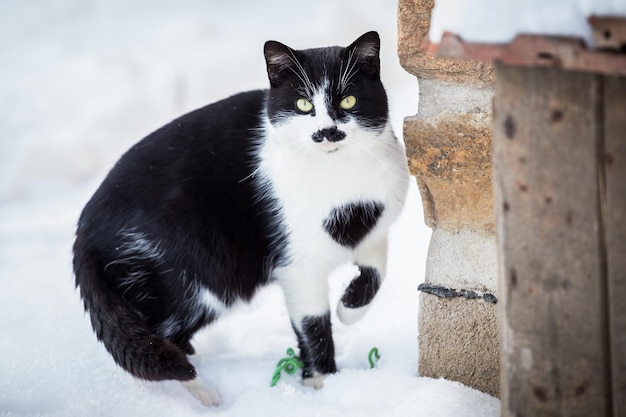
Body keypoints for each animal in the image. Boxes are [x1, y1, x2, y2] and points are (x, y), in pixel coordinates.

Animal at [73, 30, 410, 404]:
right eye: (303, 105)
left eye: (349, 101)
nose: (327, 131)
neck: (345, 187)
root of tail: (83, 228)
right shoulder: (298, 266)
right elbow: (314, 324)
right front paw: (322, 385)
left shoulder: (377, 229)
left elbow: (377, 271)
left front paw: (350, 308)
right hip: (203, 274)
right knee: (157, 339)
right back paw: (202, 393)